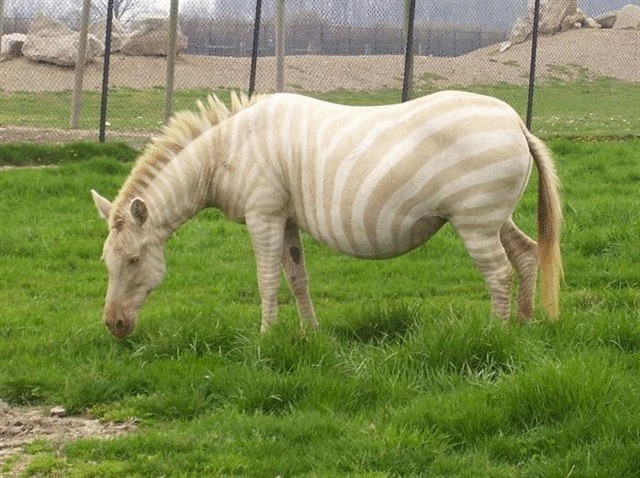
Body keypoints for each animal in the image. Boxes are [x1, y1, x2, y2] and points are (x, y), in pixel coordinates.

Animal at [90, 91, 560, 338]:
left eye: (133, 260)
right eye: (105, 262)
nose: (113, 326)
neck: (224, 153)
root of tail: (516, 121)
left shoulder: (263, 214)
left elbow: (266, 279)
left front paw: (266, 336)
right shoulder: (286, 218)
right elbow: (297, 277)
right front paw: (309, 333)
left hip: (474, 220)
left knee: (498, 271)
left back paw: (494, 334)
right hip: (492, 217)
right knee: (526, 253)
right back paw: (523, 324)